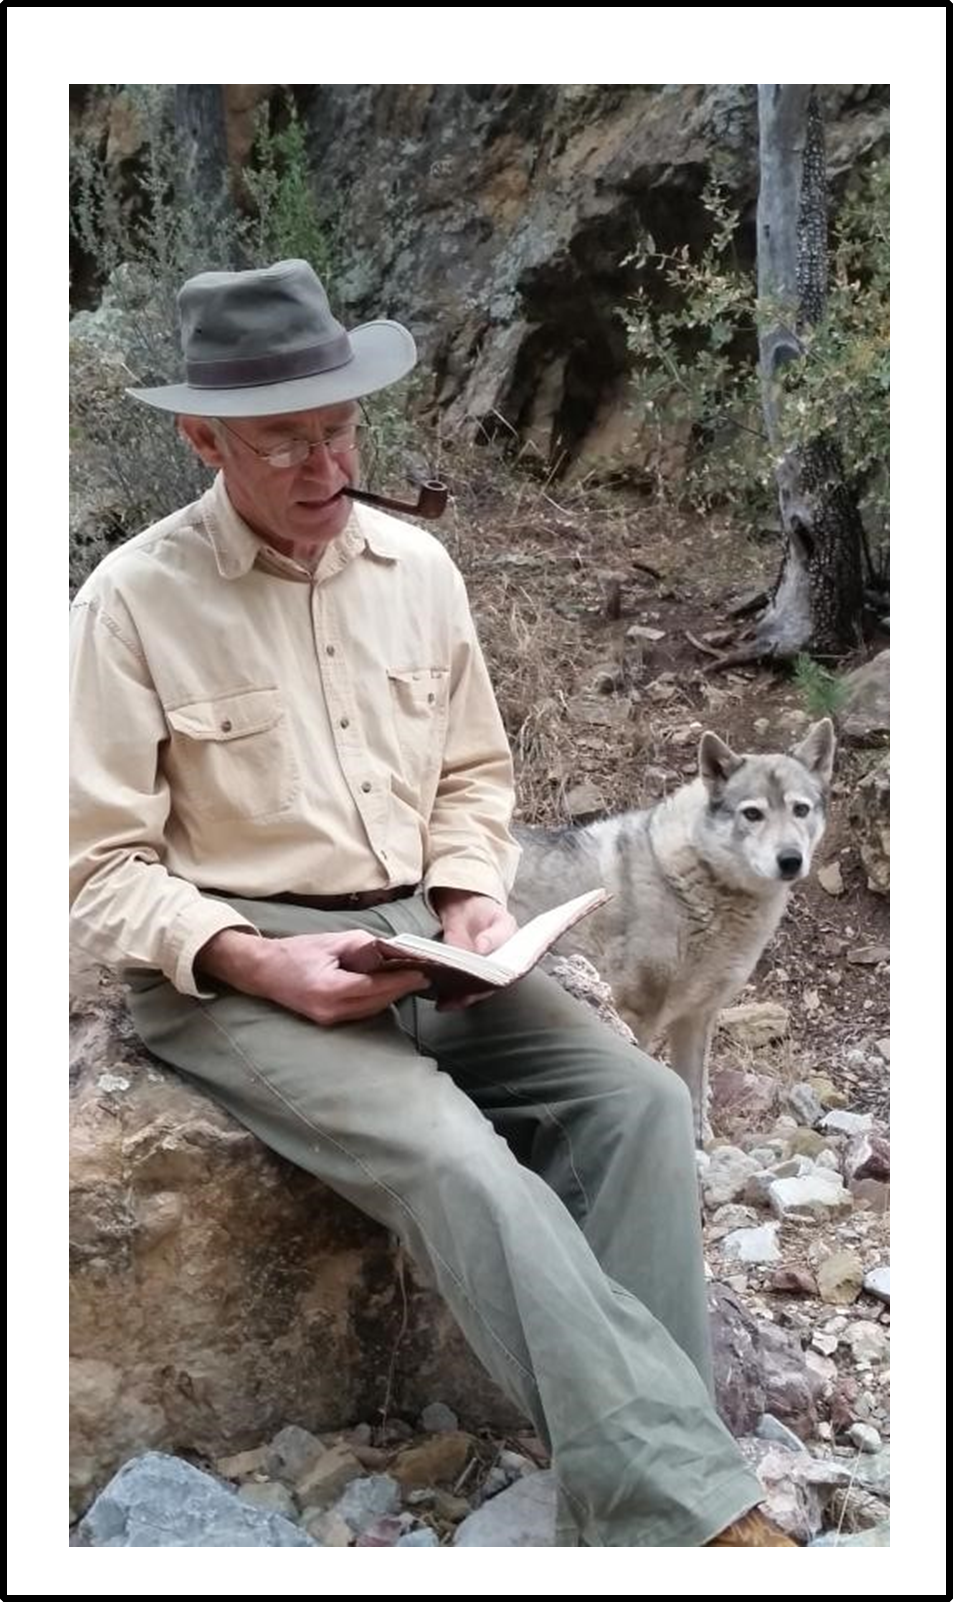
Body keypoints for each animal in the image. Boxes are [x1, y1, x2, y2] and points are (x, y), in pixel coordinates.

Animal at [511, 721, 834, 1139]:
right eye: (752, 814)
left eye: (800, 809)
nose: (790, 860)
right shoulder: (636, 1014)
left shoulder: (697, 1017)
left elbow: (695, 1098)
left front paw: (699, 1147)